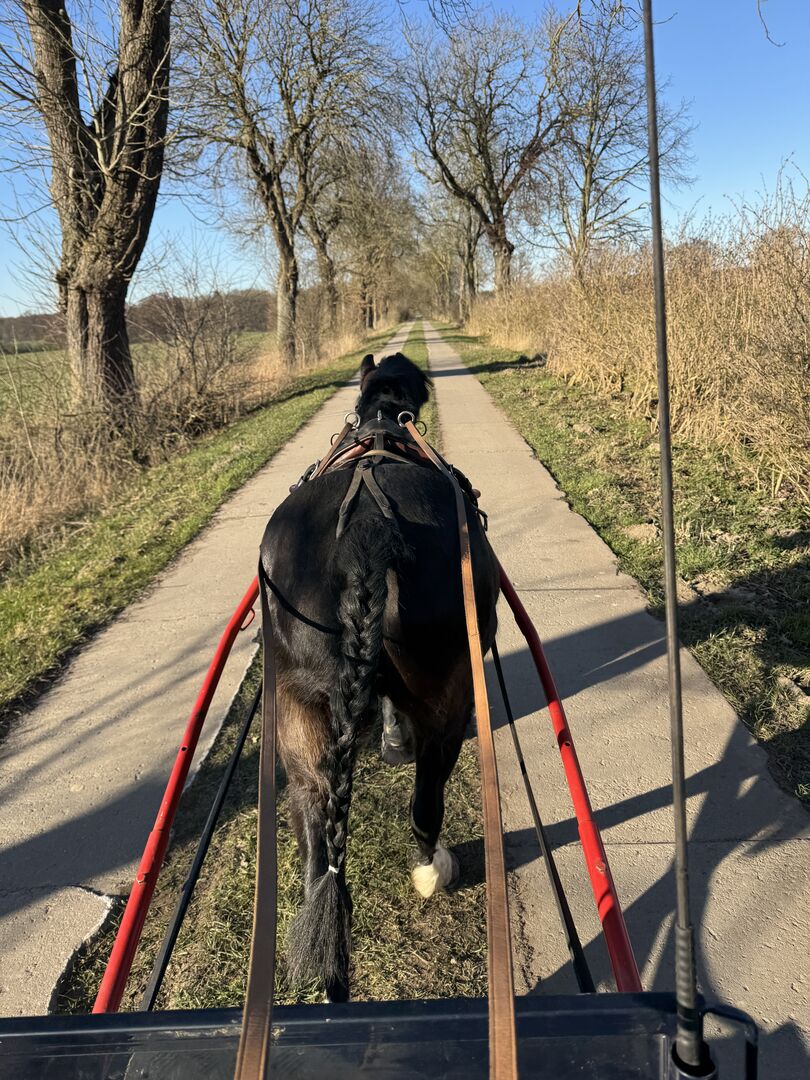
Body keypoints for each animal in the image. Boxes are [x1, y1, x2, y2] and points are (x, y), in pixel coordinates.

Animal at [258, 351, 499, 1001]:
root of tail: (366, 528)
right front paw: (393, 739)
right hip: (448, 697)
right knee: (426, 803)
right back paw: (432, 870)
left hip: (299, 704)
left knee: (315, 829)